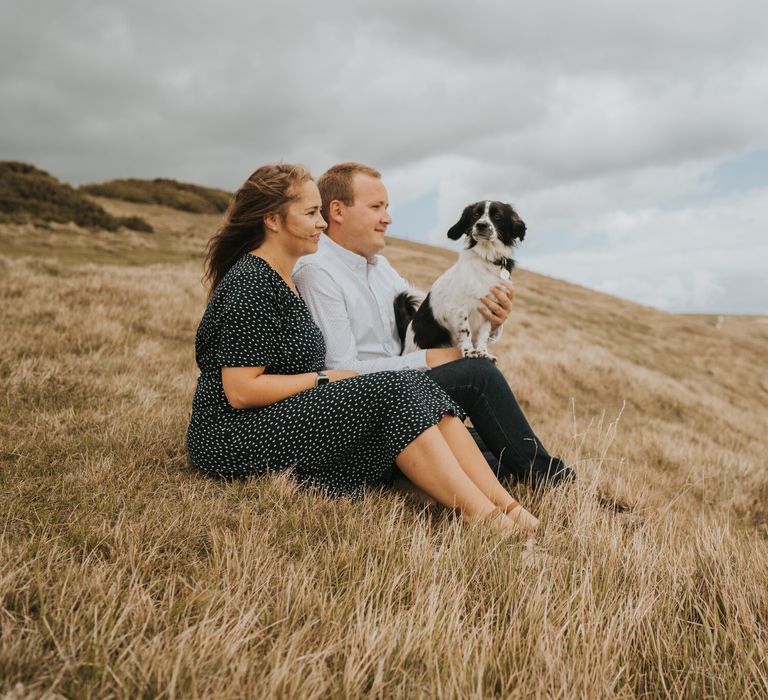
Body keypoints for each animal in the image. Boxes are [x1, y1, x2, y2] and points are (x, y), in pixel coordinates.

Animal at [396, 197, 528, 360]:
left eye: (498, 216)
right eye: (475, 215)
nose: (481, 225)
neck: (486, 258)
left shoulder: (491, 308)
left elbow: (483, 335)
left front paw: (483, 352)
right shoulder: (459, 307)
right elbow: (466, 331)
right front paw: (469, 351)